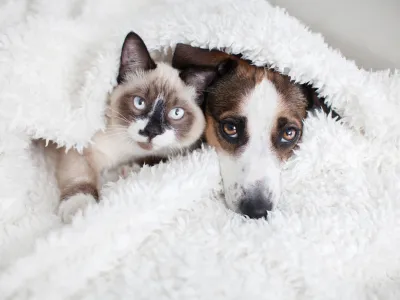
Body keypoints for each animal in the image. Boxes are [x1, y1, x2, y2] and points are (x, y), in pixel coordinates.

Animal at [43, 31, 219, 223]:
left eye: (176, 113)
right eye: (139, 102)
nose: (151, 131)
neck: (128, 151)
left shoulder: (175, 153)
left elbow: (155, 159)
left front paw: (129, 170)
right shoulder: (80, 148)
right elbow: (79, 177)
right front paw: (79, 210)